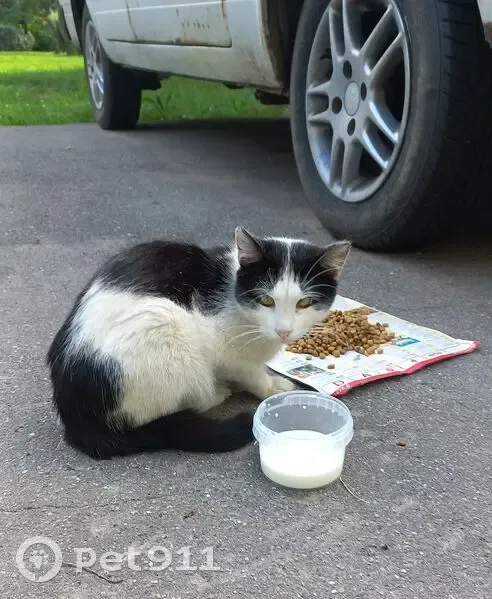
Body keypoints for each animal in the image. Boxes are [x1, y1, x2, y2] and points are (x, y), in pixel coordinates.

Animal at [46, 227, 350, 459]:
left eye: (304, 303)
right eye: (266, 300)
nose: (284, 331)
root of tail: (73, 411)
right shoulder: (221, 344)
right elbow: (249, 371)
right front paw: (269, 386)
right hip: (165, 326)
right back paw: (215, 393)